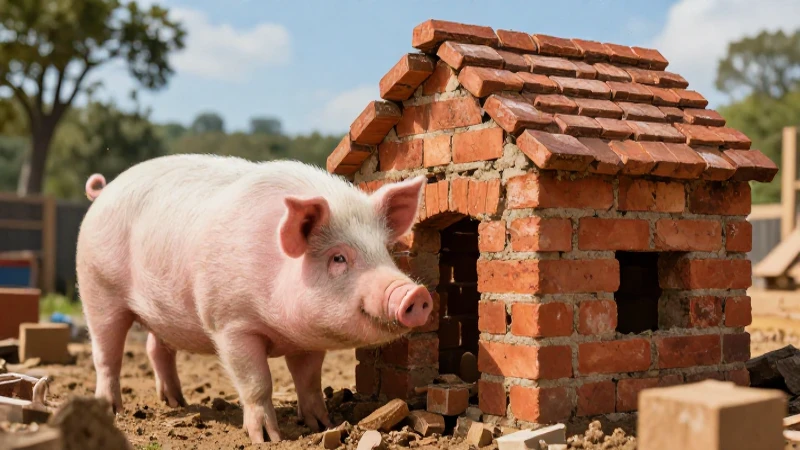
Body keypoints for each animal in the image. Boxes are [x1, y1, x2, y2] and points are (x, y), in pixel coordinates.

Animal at [75, 154, 433, 443]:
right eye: (338, 258)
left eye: (384, 250)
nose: (415, 292)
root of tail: (103, 192)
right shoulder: (231, 323)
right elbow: (257, 381)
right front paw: (267, 438)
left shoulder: (309, 340)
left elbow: (308, 379)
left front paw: (320, 425)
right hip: (97, 287)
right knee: (106, 353)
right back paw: (112, 409)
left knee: (156, 347)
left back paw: (176, 401)